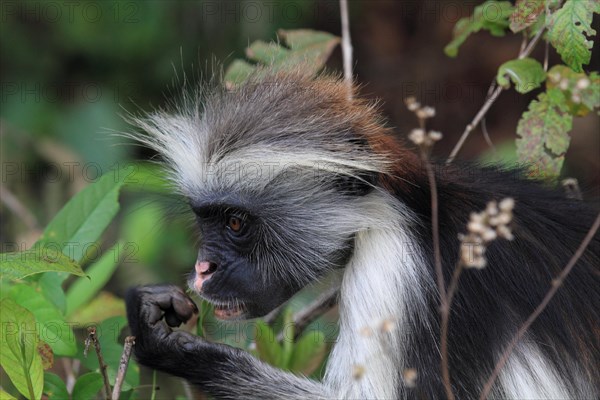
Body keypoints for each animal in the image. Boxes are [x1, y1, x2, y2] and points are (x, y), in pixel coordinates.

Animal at [124, 70, 596, 398]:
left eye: (236, 224)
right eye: (204, 219)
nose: (203, 269)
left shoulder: (392, 270)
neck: (407, 206)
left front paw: (170, 346)